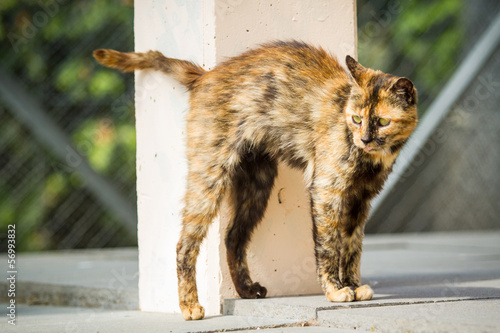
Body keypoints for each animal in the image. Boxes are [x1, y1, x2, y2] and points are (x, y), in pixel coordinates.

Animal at [94, 40, 418, 320]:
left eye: (383, 122)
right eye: (355, 119)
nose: (364, 139)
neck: (368, 158)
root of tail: (205, 75)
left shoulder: (359, 201)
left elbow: (352, 248)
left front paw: (352, 285)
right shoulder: (327, 192)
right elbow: (329, 247)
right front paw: (336, 291)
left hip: (257, 185)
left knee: (233, 236)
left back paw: (246, 290)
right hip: (209, 177)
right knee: (184, 244)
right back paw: (189, 306)